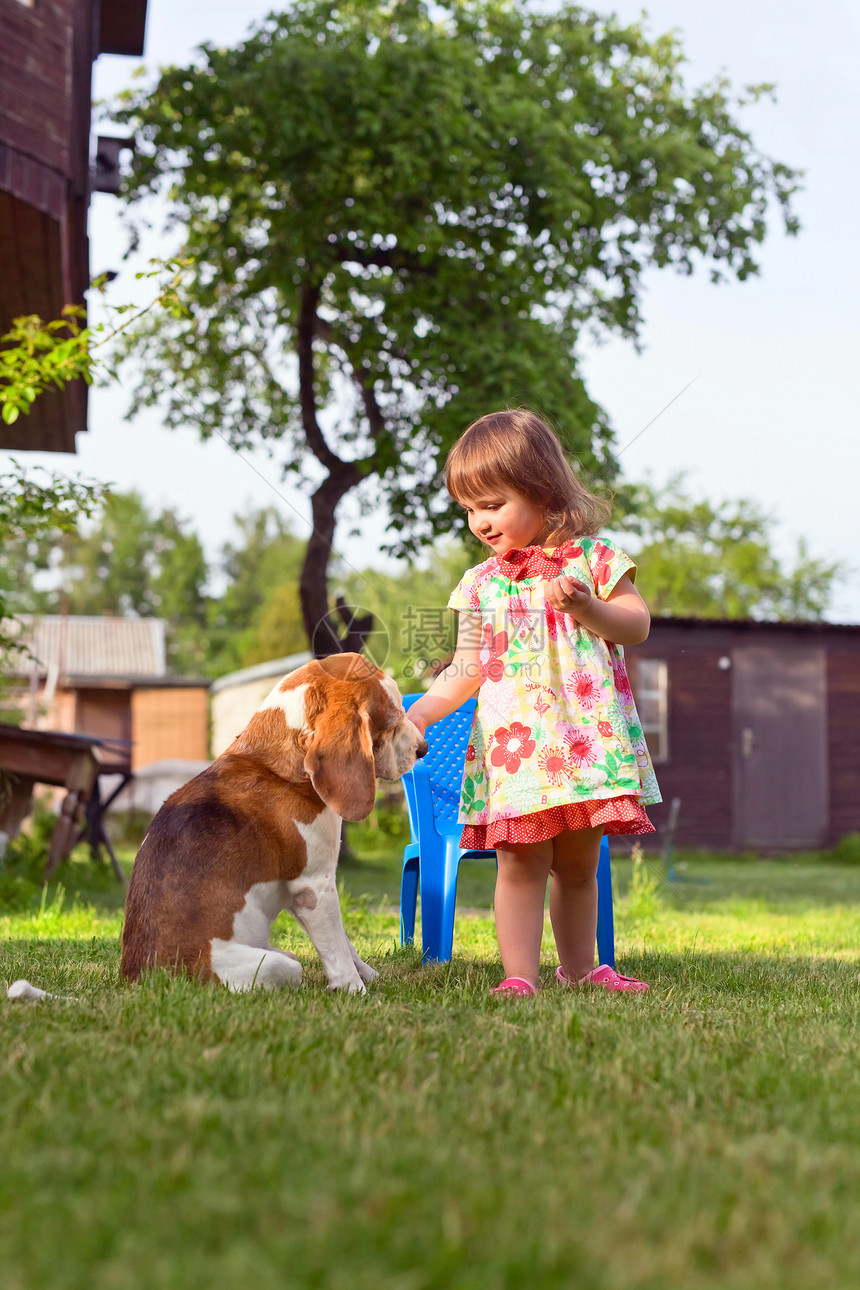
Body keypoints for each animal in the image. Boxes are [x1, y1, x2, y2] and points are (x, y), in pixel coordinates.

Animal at [119, 655, 428, 995]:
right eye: (393, 719)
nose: (423, 748)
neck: (281, 763)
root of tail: (139, 977)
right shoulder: (315, 885)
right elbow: (337, 948)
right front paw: (353, 989)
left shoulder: (301, 892)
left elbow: (345, 943)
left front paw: (368, 975)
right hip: (280, 964)